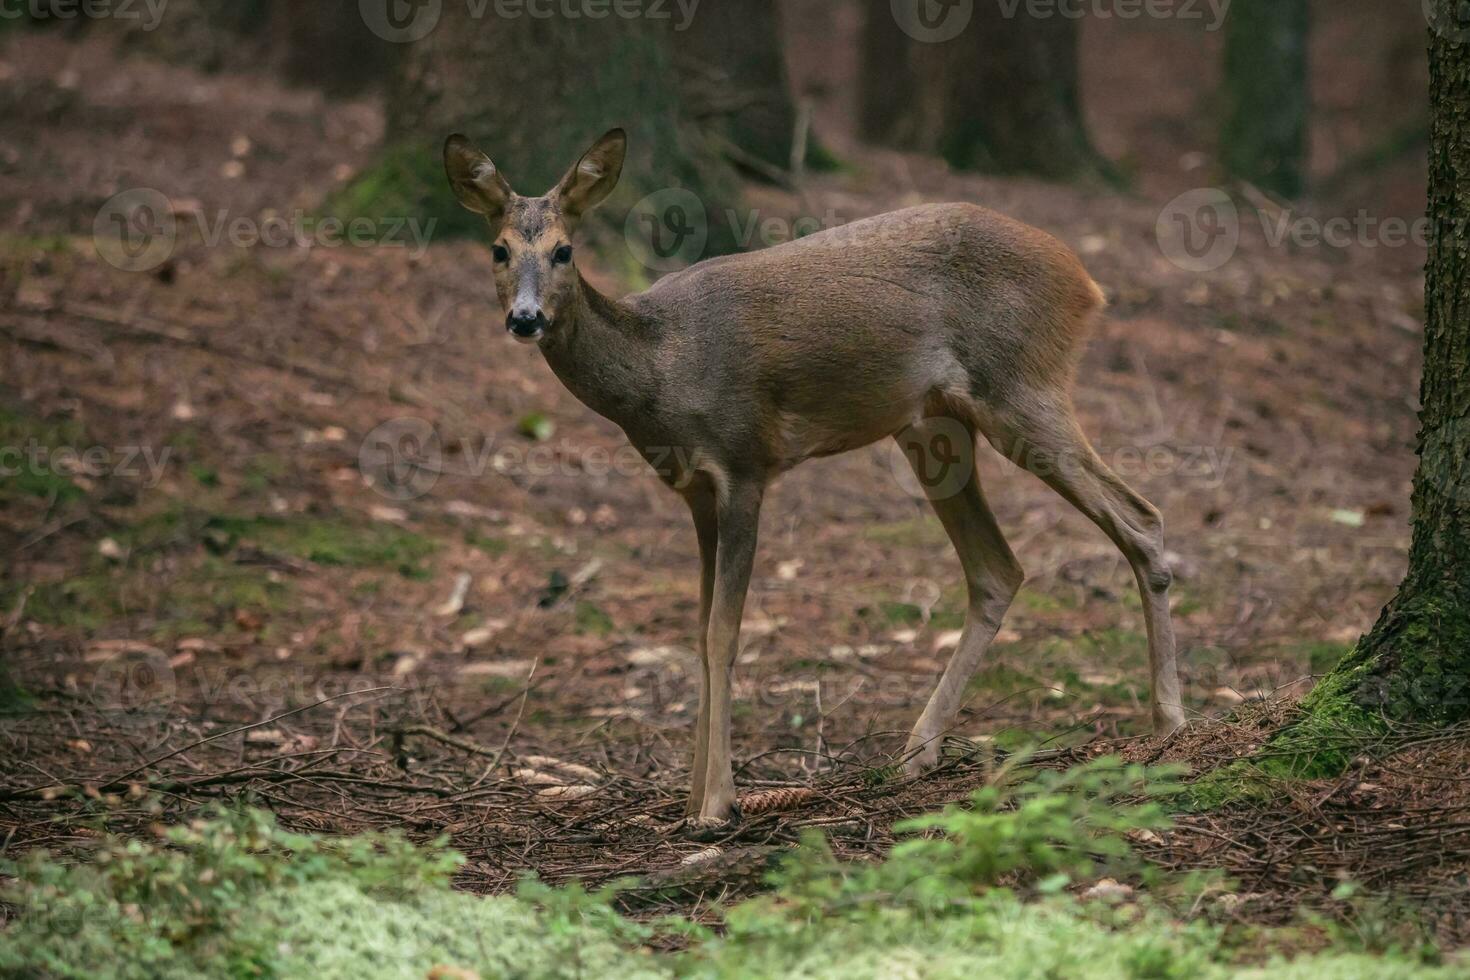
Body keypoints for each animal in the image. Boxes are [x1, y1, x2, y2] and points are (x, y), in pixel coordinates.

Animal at [441, 126, 1187, 822]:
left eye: (564, 250)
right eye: (499, 250)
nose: (526, 318)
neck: (660, 372)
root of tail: (1085, 280)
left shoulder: (744, 462)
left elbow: (725, 634)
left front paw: (718, 804)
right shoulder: (695, 491)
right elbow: (698, 631)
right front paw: (690, 797)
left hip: (1022, 385)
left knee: (1142, 517)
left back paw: (1169, 720)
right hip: (935, 427)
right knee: (998, 568)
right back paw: (916, 752)